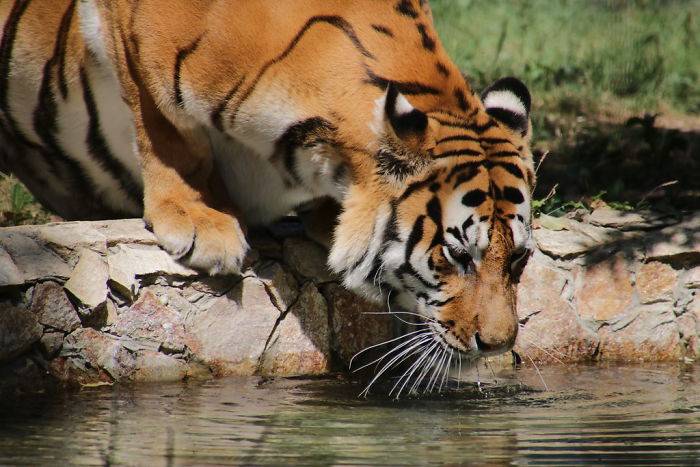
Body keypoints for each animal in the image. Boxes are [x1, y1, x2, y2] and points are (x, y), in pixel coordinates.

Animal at [1, 0, 536, 378]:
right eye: (457, 256)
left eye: (518, 259)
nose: (499, 345)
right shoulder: (131, 35)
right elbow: (167, 132)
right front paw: (201, 221)